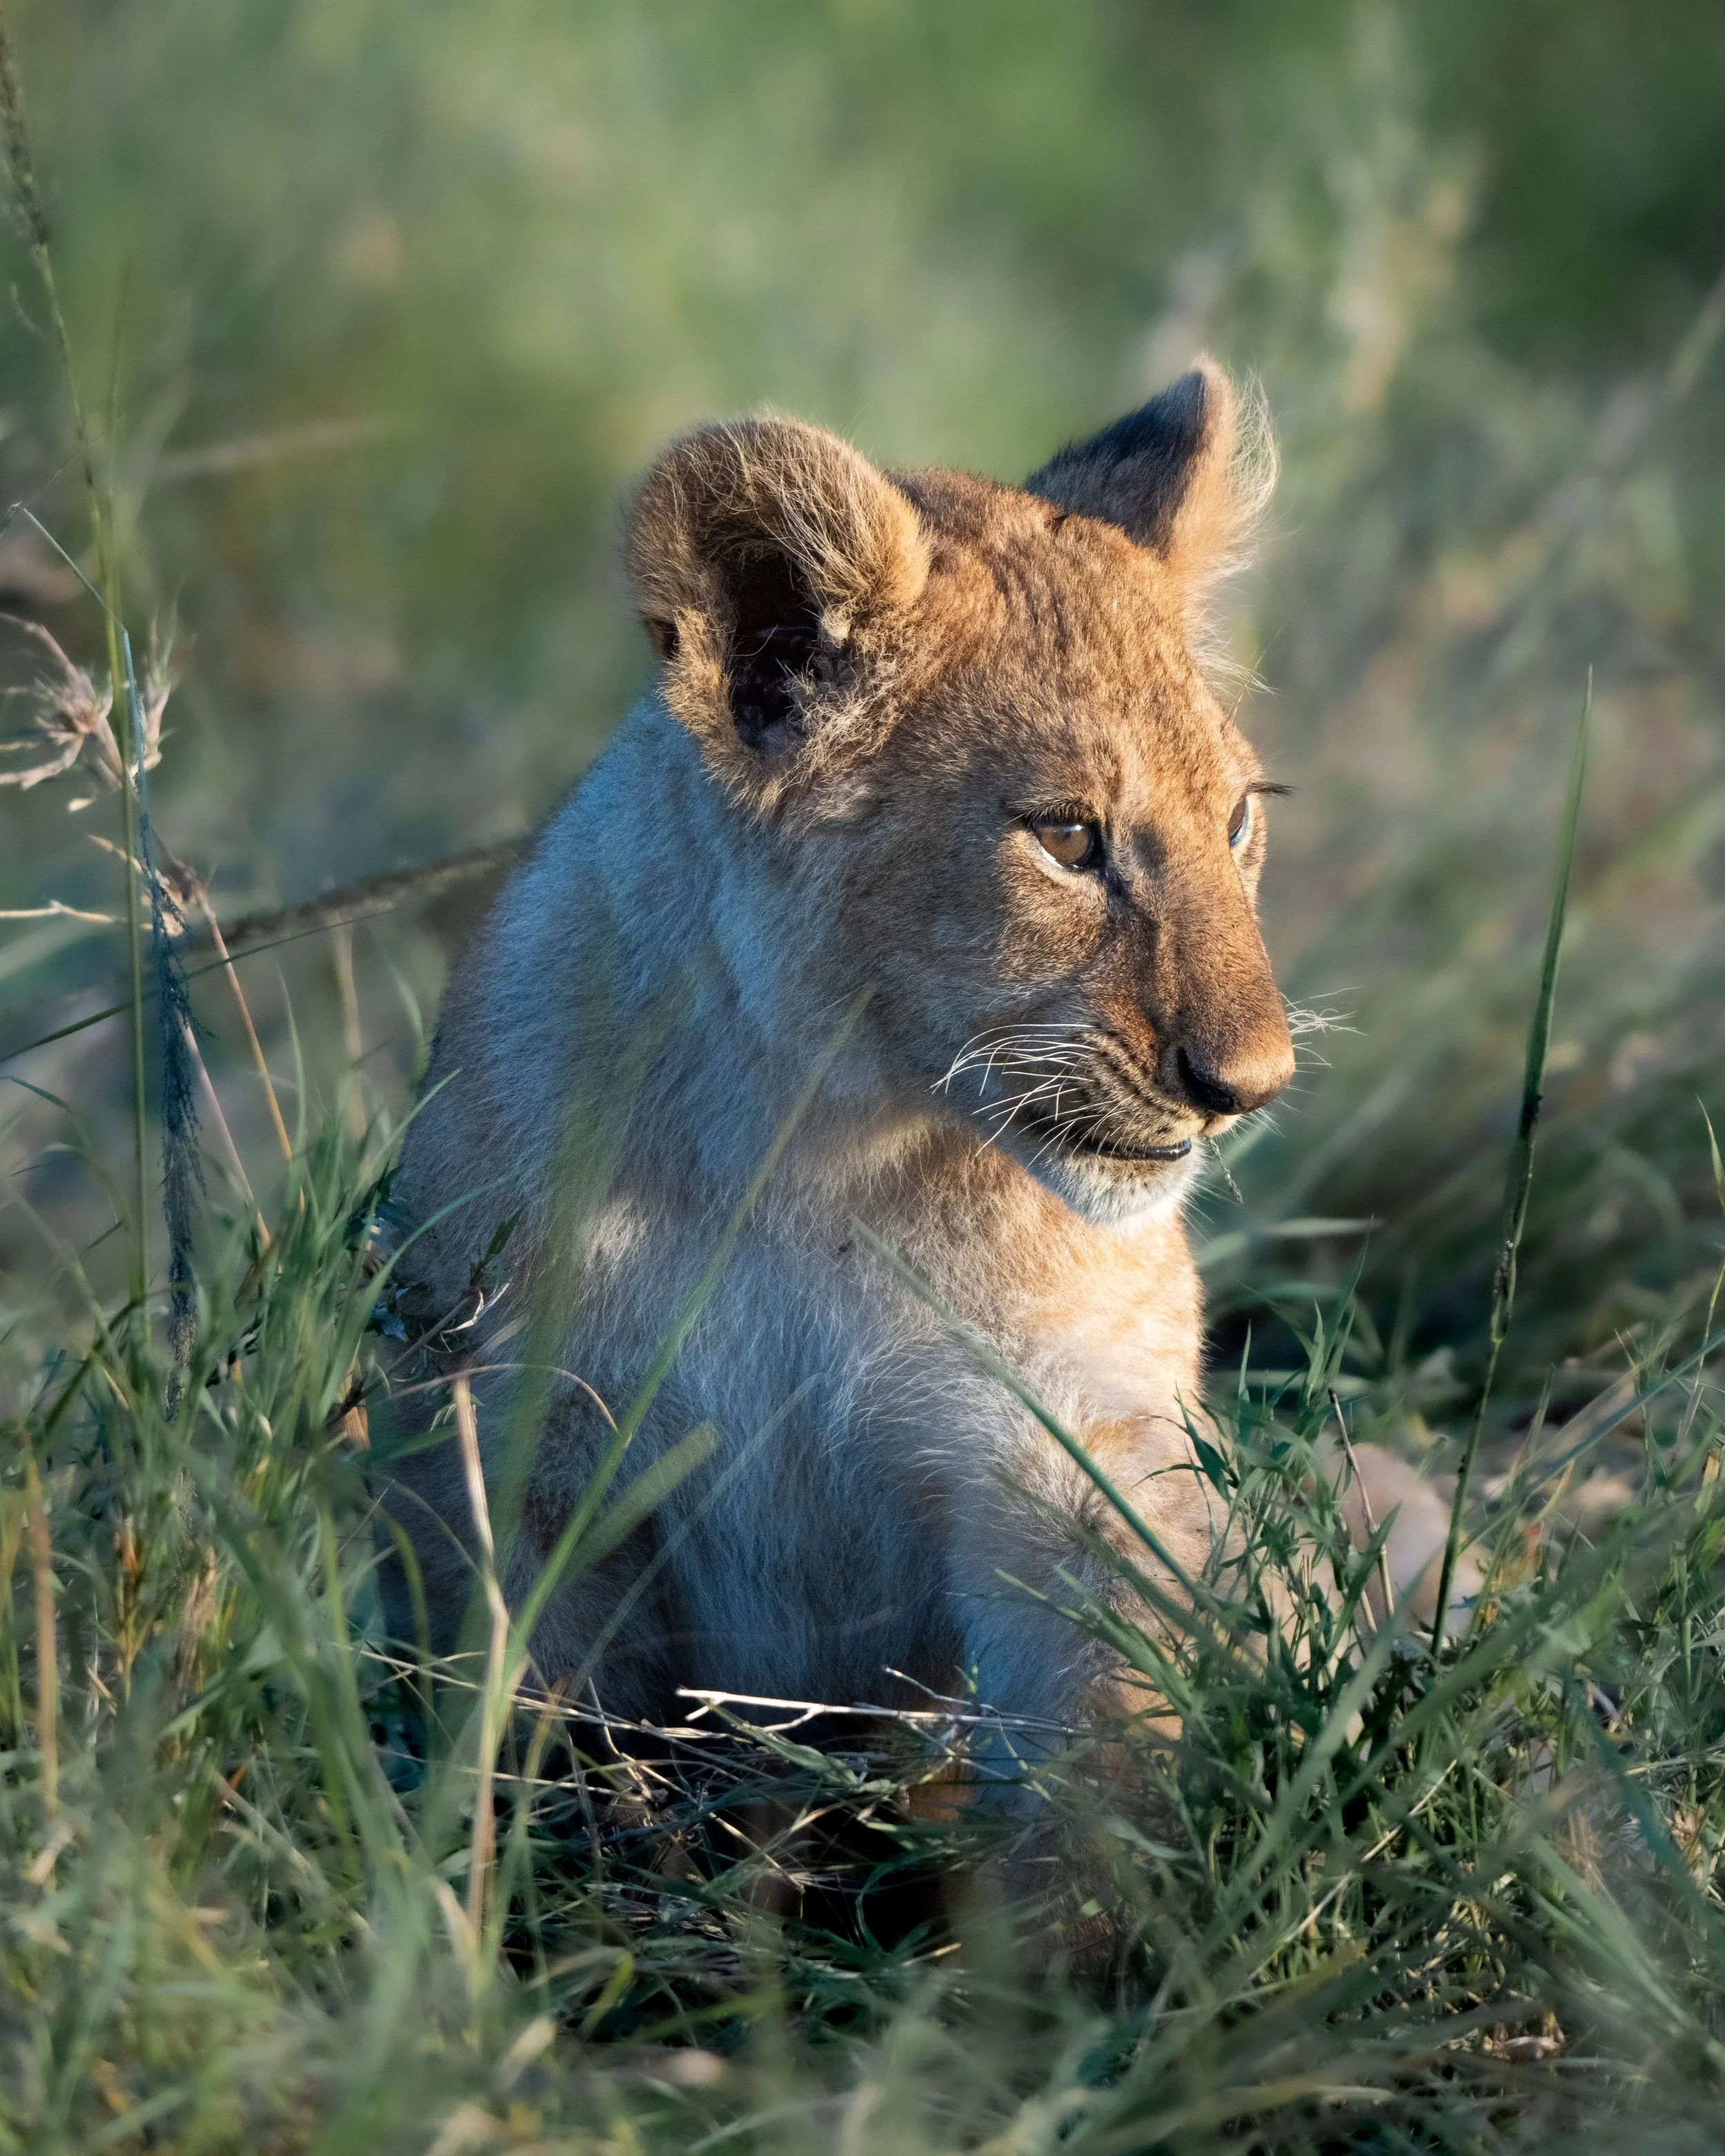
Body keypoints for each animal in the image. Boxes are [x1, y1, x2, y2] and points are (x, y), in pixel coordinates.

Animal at [380, 360, 1472, 1800]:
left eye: (1240, 819)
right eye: (1067, 836)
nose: (1252, 1085)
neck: (804, 1149)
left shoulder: (1077, 1459)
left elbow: (1104, 1768)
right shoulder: (520, 1450)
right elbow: (527, 1741)